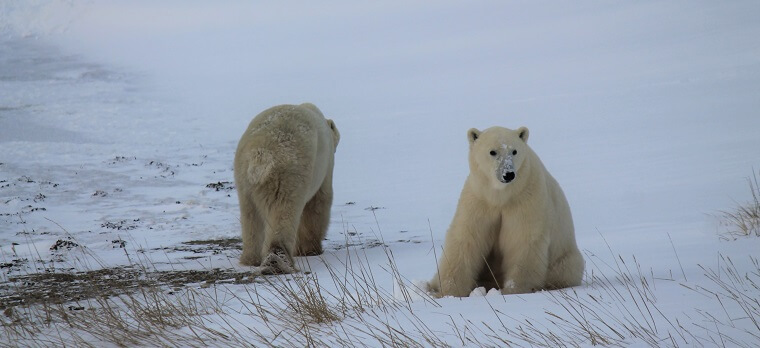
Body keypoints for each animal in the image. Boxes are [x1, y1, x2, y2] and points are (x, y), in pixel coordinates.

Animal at [232, 103, 338, 274]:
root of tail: (261, 155)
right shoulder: (325, 165)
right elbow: (318, 203)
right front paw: (310, 250)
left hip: (243, 178)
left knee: (250, 216)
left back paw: (251, 259)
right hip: (288, 175)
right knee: (284, 212)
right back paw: (277, 261)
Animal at [430, 126, 584, 294]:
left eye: (514, 151)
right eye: (492, 152)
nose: (508, 174)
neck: (501, 196)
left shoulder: (525, 198)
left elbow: (522, 239)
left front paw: (513, 290)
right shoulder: (479, 200)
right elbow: (466, 238)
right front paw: (450, 291)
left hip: (565, 258)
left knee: (566, 269)